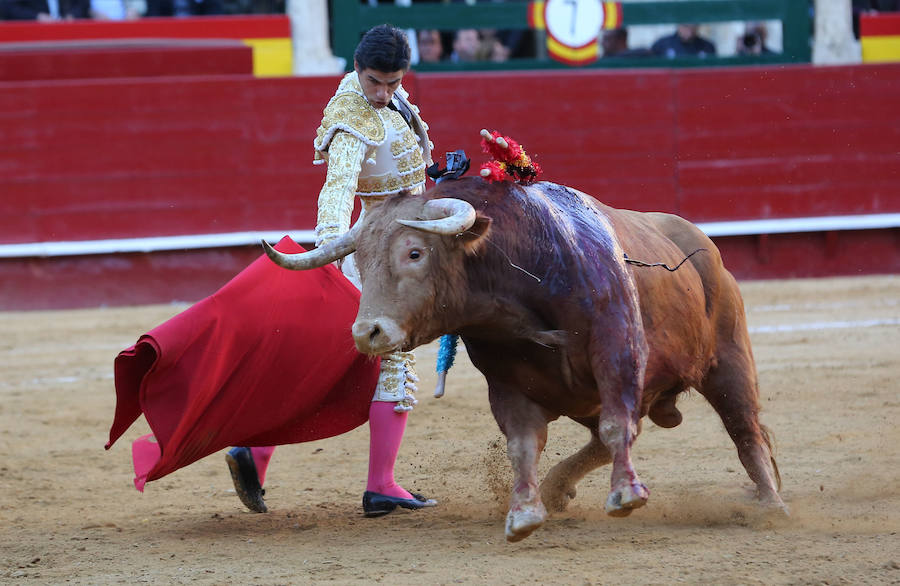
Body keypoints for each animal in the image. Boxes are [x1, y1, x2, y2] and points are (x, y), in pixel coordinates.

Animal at [262, 177, 788, 540]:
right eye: (361, 261)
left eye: (415, 253)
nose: (368, 332)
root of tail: (699, 242)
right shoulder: (507, 383)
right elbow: (523, 444)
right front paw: (524, 513)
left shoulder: (617, 349)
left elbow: (617, 425)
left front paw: (625, 494)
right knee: (604, 438)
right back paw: (558, 488)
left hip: (728, 360)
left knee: (744, 430)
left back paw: (771, 504)